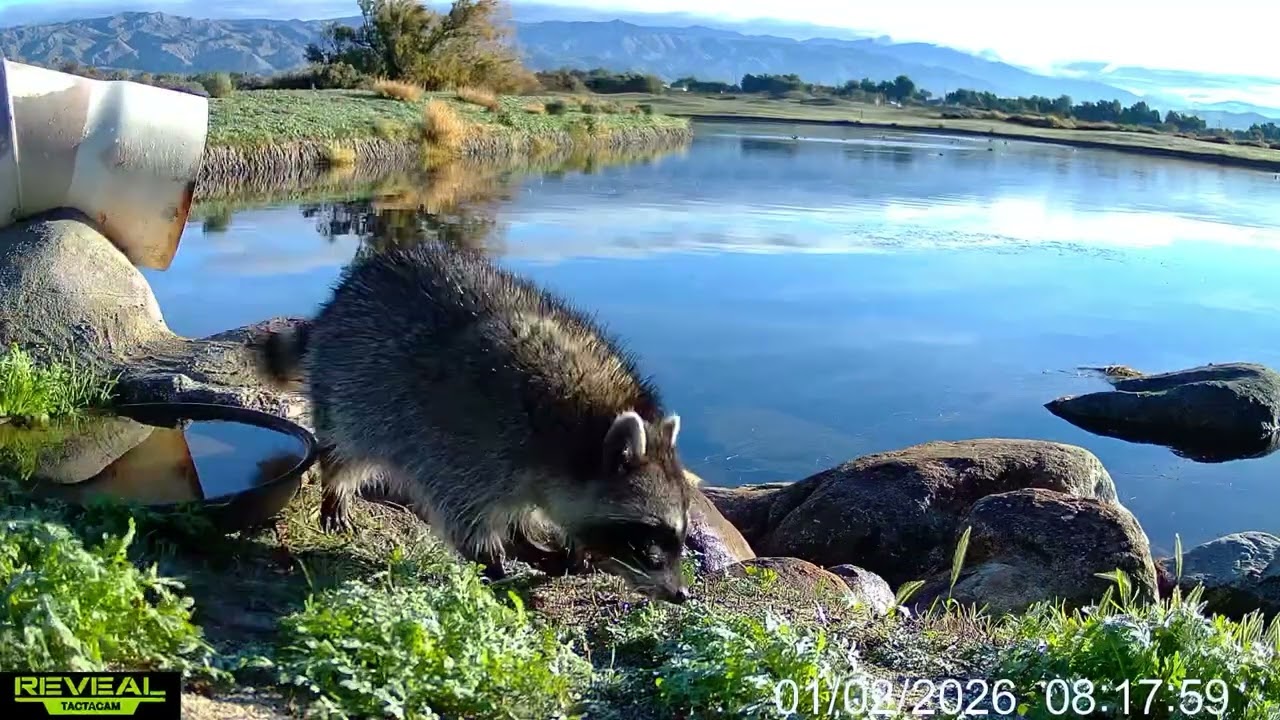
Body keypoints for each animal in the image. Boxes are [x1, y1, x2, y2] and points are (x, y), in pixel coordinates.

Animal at [255, 245, 694, 603]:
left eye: (679, 537)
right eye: (649, 546)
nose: (681, 594)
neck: (577, 431)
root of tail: (340, 299)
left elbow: (519, 511)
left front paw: (538, 545)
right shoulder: (464, 439)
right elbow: (461, 510)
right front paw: (493, 559)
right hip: (350, 382)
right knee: (345, 445)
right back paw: (336, 486)